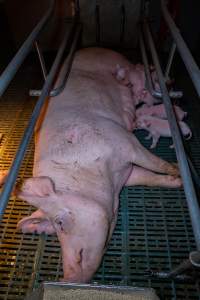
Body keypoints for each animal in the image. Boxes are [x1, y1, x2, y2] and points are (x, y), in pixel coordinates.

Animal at [16, 47, 181, 284]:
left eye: (60, 222)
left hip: (120, 63)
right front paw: (177, 182)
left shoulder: (124, 141)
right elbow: (149, 177)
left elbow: (156, 163)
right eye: (53, 230)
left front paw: (178, 170)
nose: (68, 278)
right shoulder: (127, 173)